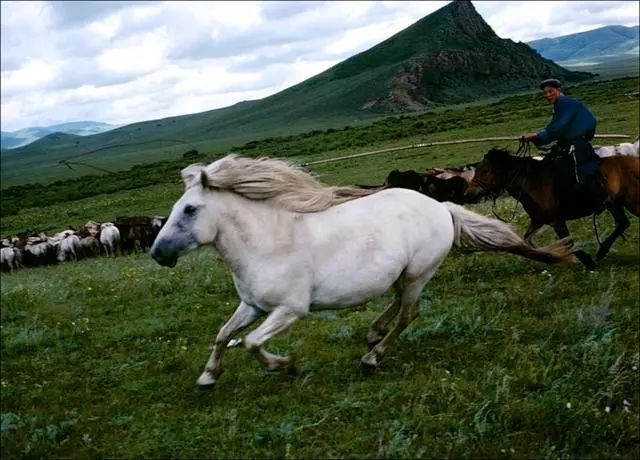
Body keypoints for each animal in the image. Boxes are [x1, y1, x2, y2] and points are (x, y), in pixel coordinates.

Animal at [152, 155, 572, 388]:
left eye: (189, 209)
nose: (158, 253)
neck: (269, 242)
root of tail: (441, 207)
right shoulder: (252, 305)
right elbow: (224, 335)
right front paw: (208, 377)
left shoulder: (290, 310)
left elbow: (252, 343)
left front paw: (284, 365)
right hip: (402, 273)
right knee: (397, 302)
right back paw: (373, 334)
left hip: (419, 273)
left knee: (408, 312)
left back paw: (373, 356)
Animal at [470, 147, 640, 270]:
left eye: (485, 171)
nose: (469, 193)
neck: (531, 183)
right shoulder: (538, 221)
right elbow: (527, 240)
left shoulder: (556, 222)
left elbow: (568, 243)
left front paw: (587, 261)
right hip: (617, 204)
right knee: (623, 223)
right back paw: (602, 250)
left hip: (628, 203)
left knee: (623, 223)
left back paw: (602, 251)